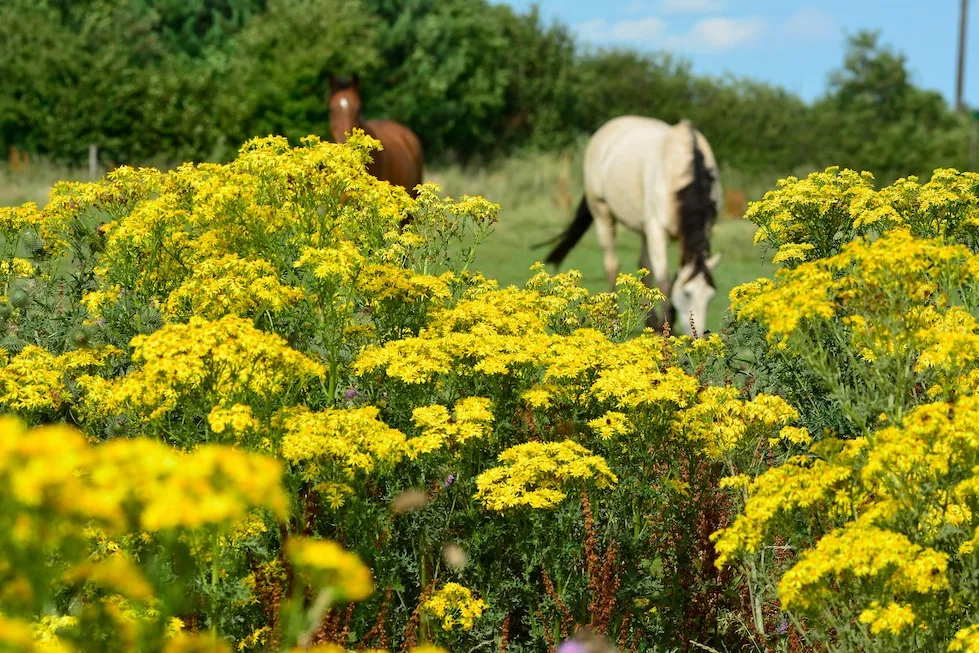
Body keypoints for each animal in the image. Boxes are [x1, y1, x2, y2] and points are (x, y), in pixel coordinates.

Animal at [539, 116, 722, 337]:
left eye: (710, 295)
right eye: (687, 294)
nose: (698, 335)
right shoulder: (657, 230)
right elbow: (664, 280)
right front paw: (666, 328)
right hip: (603, 215)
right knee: (612, 265)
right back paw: (613, 321)